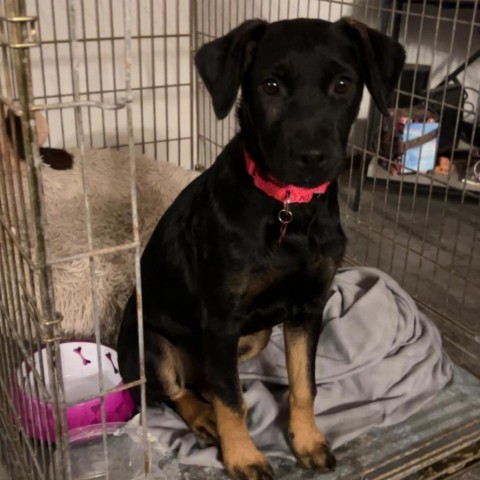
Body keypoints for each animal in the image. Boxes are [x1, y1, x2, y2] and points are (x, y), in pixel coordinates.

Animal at [117, 17, 404, 480]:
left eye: (343, 83)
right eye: (270, 86)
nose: (313, 158)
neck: (289, 209)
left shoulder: (308, 307)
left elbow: (304, 385)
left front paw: (307, 440)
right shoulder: (221, 319)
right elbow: (230, 400)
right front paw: (244, 456)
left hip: (252, 337)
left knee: (208, 379)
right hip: (153, 344)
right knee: (176, 390)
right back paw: (204, 419)